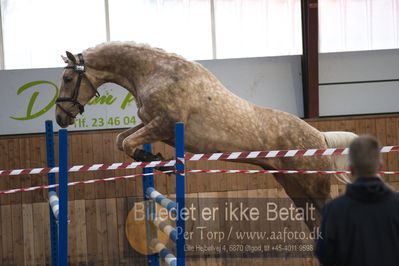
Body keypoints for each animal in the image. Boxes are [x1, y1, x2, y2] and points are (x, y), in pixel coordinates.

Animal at [55, 41, 356, 229]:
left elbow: (127, 142)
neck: (156, 73)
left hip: (314, 186)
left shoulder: (164, 124)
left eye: (68, 79)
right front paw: (156, 159)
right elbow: (121, 140)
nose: (60, 117)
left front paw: (159, 161)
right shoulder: (150, 124)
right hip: (293, 186)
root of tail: (320, 138)